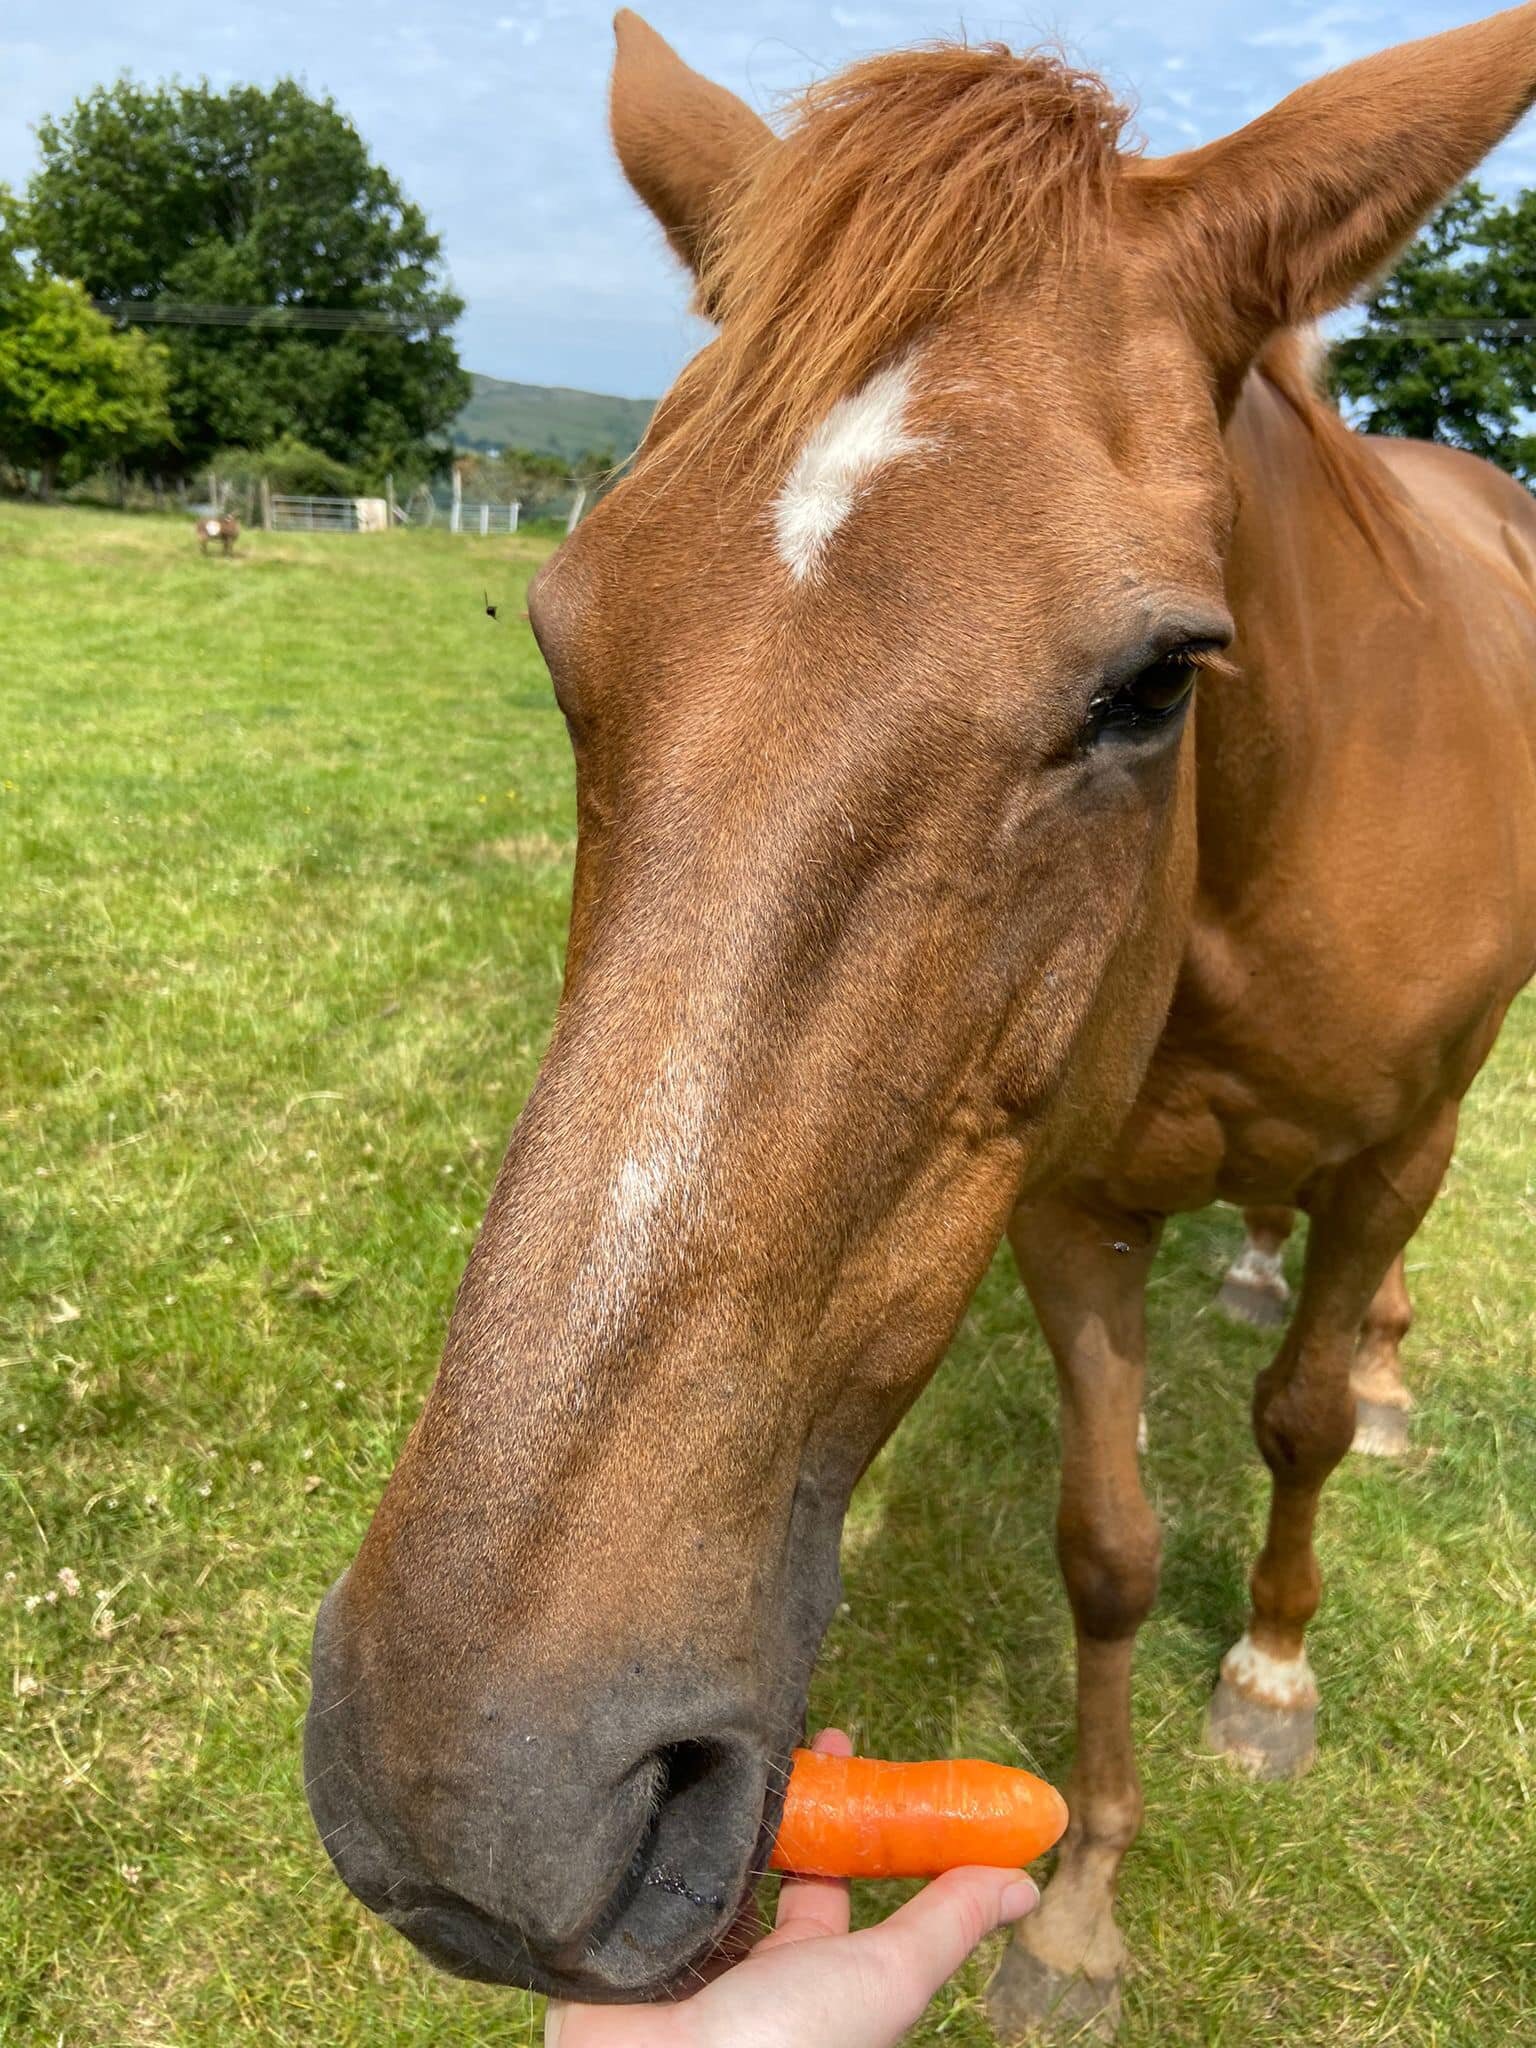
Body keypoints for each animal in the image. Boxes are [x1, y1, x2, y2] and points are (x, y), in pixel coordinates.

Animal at [304, 8, 1536, 2038]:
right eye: (561, 640)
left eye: (1155, 682)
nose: (475, 1798)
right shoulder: (1064, 1201)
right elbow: (1106, 1549)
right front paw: (1080, 1904)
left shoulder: (1390, 1150)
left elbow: (1292, 1433)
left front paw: (1270, 1671)